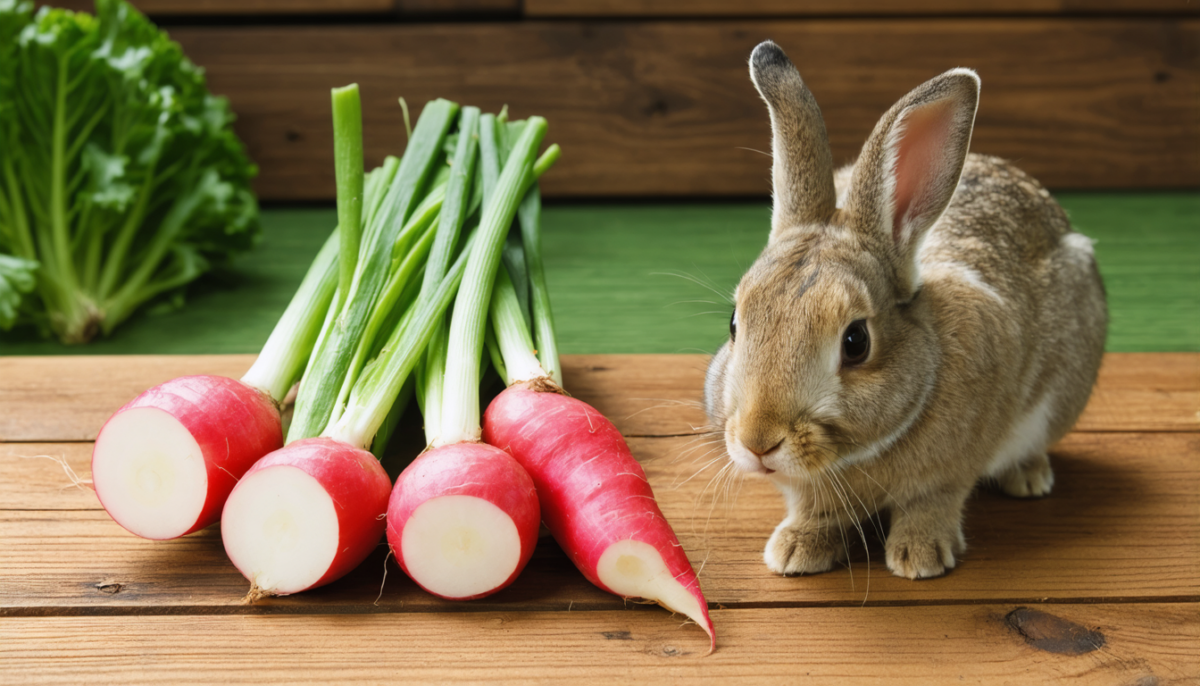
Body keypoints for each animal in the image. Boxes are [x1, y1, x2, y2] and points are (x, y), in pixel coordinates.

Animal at [703, 40, 1107, 580]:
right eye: (733, 324)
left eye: (856, 342)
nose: (757, 443)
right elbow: (817, 512)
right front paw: (795, 551)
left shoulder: (951, 470)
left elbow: (932, 502)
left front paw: (919, 557)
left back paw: (1029, 477)